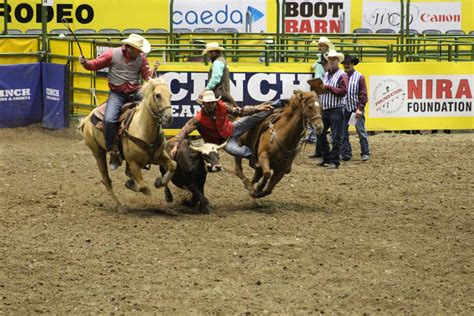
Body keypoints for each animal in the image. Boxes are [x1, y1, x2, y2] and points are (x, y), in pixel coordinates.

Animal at [80, 77, 177, 209]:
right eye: (158, 95)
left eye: (170, 95)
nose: (169, 118)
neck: (143, 128)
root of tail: (87, 118)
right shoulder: (133, 162)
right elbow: (143, 187)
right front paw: (132, 185)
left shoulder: (158, 156)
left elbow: (173, 165)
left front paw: (160, 183)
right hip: (98, 153)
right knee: (106, 179)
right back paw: (119, 205)